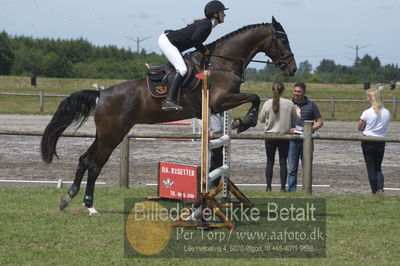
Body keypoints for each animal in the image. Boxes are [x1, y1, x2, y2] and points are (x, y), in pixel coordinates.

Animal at [40, 16, 296, 214]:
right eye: (283, 40)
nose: (292, 68)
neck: (221, 62)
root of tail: (101, 94)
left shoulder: (220, 103)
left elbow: (252, 99)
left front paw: (241, 122)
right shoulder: (219, 100)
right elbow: (254, 97)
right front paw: (245, 121)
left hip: (105, 134)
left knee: (84, 160)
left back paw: (67, 198)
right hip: (112, 135)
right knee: (94, 165)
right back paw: (90, 206)